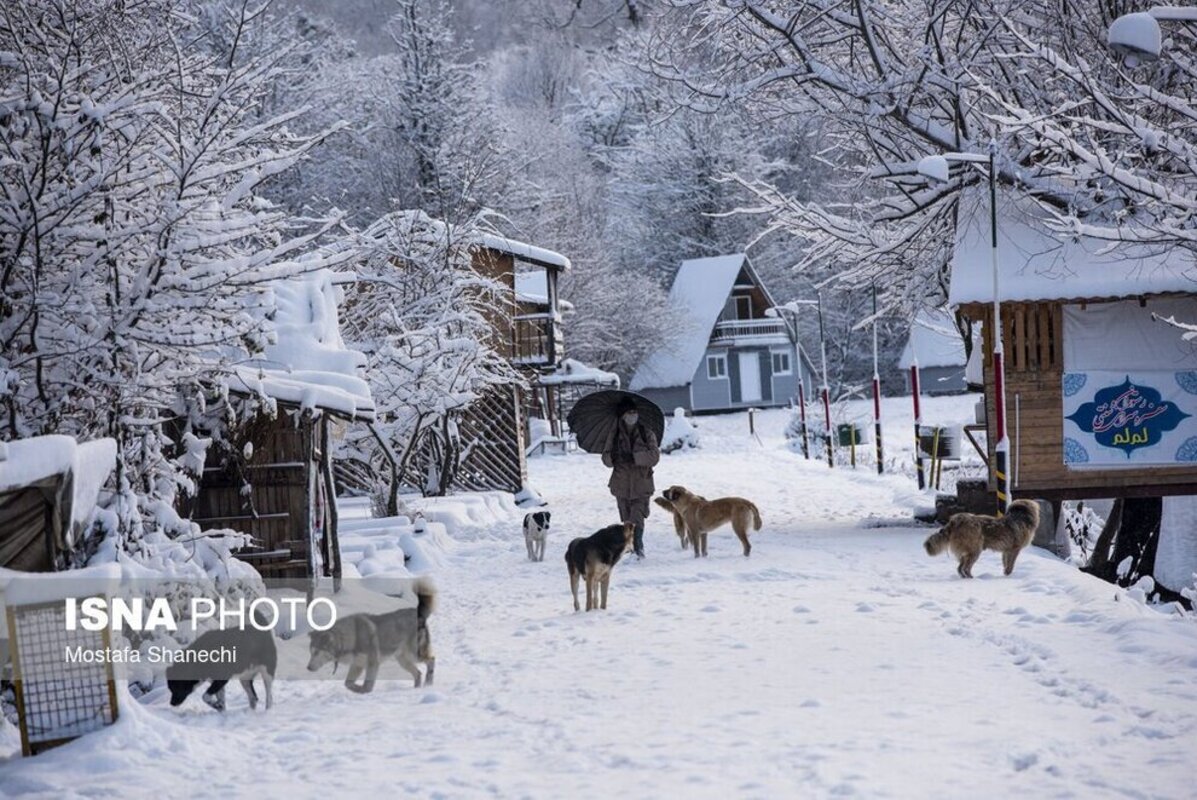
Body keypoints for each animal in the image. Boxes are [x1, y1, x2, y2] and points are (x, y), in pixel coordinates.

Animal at [306, 574, 438, 694]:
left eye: (317, 652)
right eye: (311, 652)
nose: (308, 668)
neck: (350, 637)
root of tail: (417, 612)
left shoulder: (372, 663)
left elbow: (367, 685)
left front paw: (363, 690)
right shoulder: (357, 664)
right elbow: (347, 683)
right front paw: (357, 689)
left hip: (414, 654)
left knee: (431, 660)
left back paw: (429, 683)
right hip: (403, 660)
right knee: (418, 673)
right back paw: (416, 688)